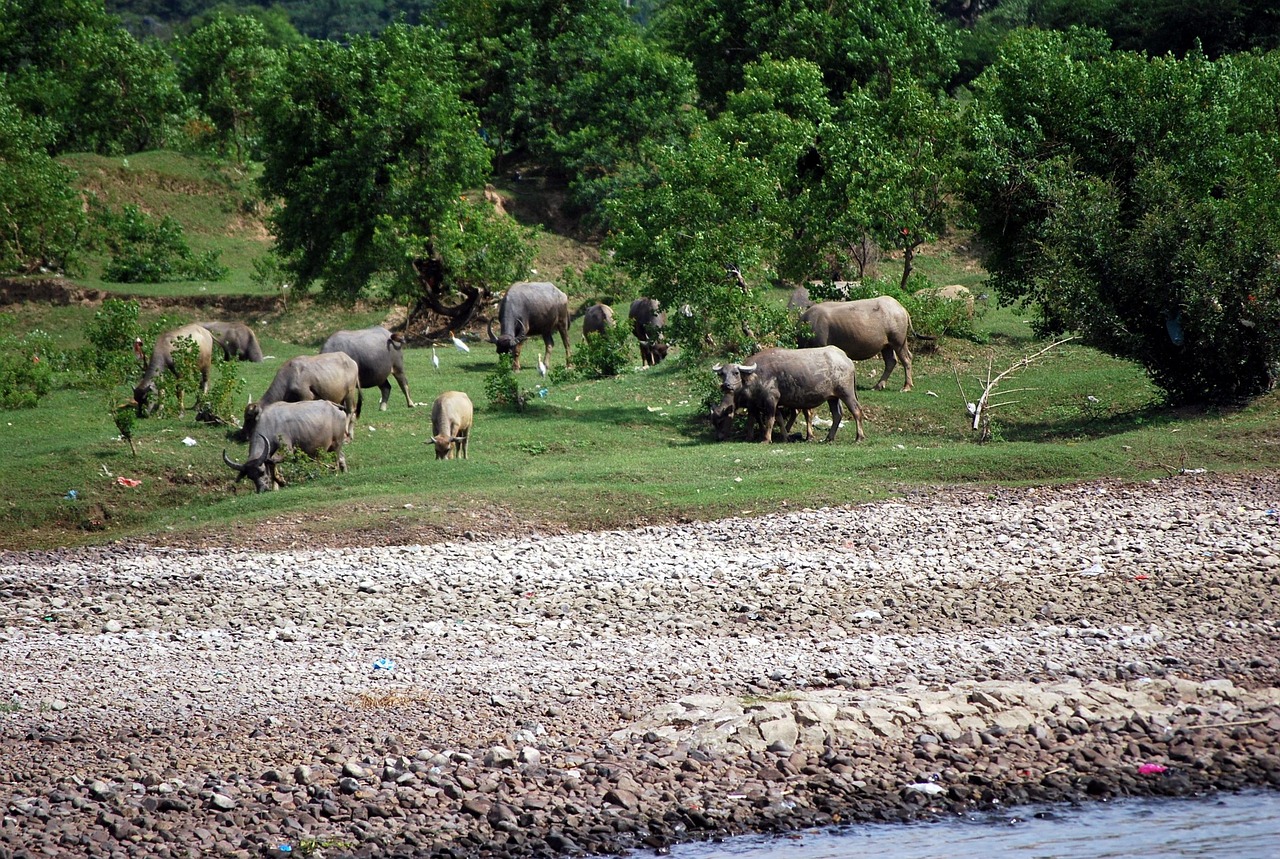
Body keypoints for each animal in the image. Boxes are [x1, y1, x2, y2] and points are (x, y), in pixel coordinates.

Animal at [711, 346, 865, 443]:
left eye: (736, 372)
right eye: (722, 374)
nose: (726, 385)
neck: (754, 377)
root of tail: (846, 359)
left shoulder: (771, 400)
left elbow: (769, 420)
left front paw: (766, 439)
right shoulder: (758, 404)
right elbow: (766, 419)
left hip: (846, 393)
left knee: (856, 410)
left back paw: (859, 438)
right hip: (832, 397)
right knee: (837, 415)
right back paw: (829, 438)